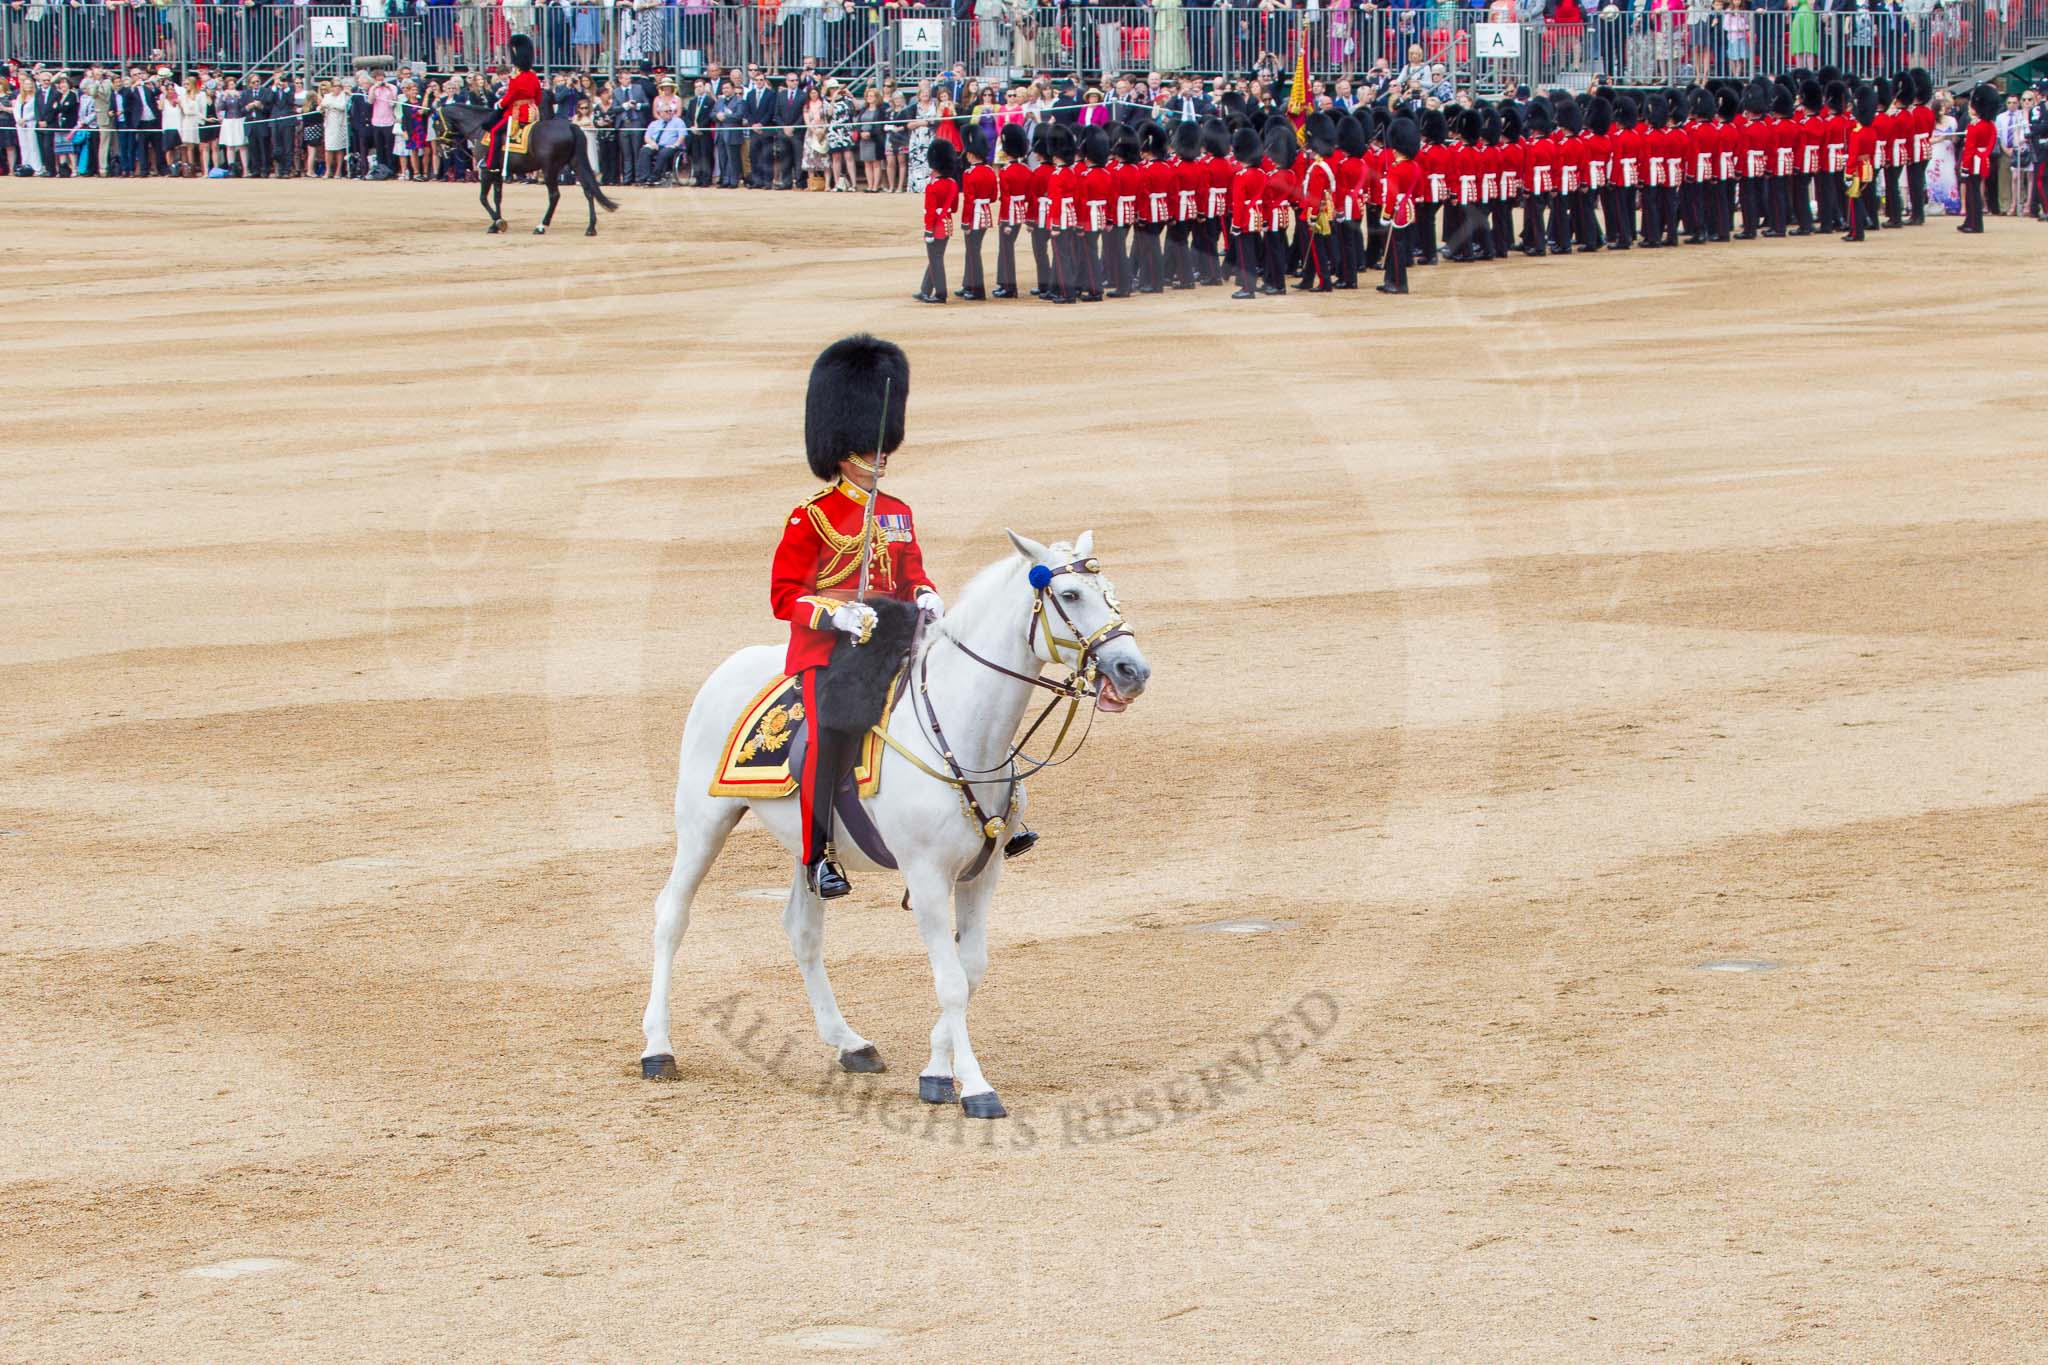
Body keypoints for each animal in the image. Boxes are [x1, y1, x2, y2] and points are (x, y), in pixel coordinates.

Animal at [438, 102, 614, 236]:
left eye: (436, 122)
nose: (442, 148)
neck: (480, 128)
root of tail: (571, 126)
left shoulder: (487, 171)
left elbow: (483, 198)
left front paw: (498, 222)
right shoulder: (497, 172)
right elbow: (497, 198)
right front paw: (495, 224)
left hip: (550, 169)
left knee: (554, 195)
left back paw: (542, 226)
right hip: (576, 163)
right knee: (588, 191)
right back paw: (590, 228)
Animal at [638, 532, 1155, 1121]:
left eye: (1109, 590)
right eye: (1069, 594)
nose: (1132, 670)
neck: (962, 730)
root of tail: (732, 664)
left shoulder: (983, 873)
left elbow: (970, 968)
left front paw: (936, 1072)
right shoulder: (926, 876)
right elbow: (950, 981)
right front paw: (975, 1087)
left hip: (808, 843)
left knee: (802, 929)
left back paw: (849, 1043)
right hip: (703, 823)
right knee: (672, 914)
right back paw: (658, 1048)